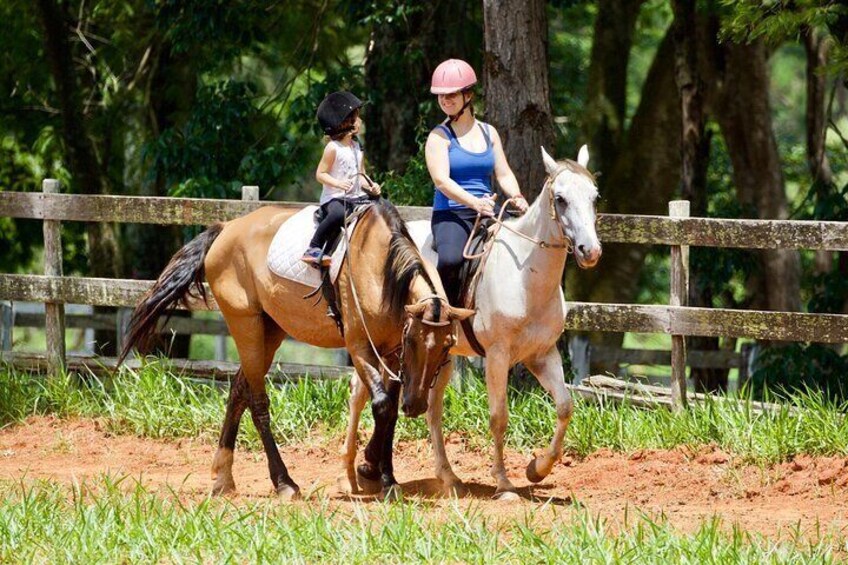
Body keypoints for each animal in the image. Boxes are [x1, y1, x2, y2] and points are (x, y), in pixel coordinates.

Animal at [118, 199, 470, 498]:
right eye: (413, 341)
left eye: (445, 348)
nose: (417, 405)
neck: (378, 267)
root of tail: (226, 228)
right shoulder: (360, 348)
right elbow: (382, 406)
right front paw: (373, 474)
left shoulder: (391, 354)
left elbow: (391, 411)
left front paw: (382, 475)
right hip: (245, 324)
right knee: (257, 402)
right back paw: (284, 482)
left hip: (270, 330)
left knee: (238, 391)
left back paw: (223, 477)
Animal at [342, 144, 600, 498]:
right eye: (560, 198)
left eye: (594, 197)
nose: (591, 251)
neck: (525, 277)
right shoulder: (497, 355)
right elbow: (499, 417)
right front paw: (504, 483)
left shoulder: (542, 355)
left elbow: (565, 406)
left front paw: (537, 469)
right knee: (360, 393)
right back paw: (352, 472)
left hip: (436, 358)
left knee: (431, 409)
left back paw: (442, 476)